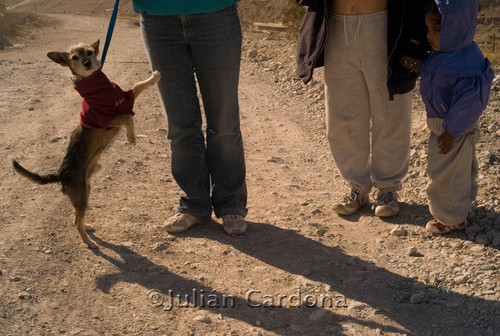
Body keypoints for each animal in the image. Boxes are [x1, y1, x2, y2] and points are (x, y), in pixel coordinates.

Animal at [12, 40, 160, 249]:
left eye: (89, 52)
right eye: (74, 57)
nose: (87, 62)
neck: (97, 89)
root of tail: (61, 174)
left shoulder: (126, 98)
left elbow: (139, 85)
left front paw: (155, 76)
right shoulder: (108, 119)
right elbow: (128, 118)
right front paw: (131, 138)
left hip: (85, 192)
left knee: (76, 217)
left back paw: (87, 228)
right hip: (81, 195)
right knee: (75, 221)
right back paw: (88, 242)